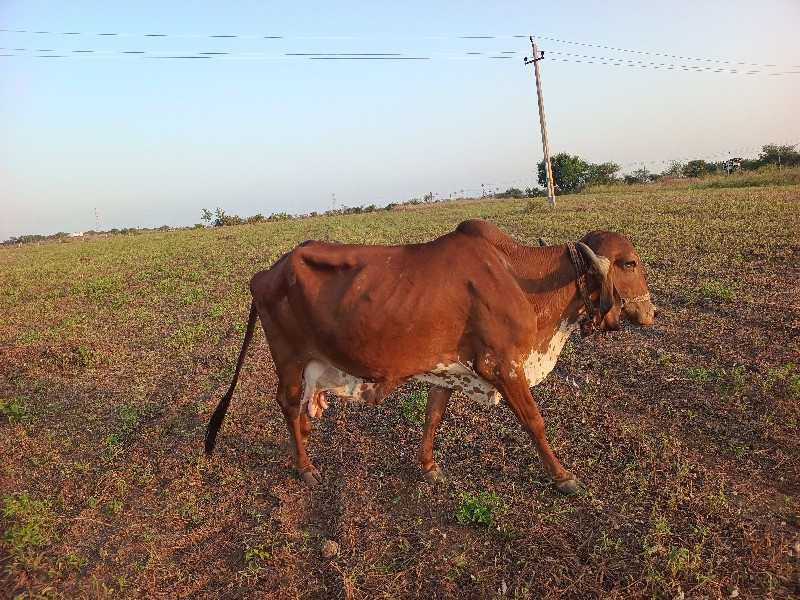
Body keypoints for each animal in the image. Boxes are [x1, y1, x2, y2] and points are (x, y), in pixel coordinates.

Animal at [206, 219, 656, 492]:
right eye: (630, 263)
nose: (651, 313)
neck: (518, 276)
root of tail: (266, 272)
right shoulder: (503, 366)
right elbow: (535, 423)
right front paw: (563, 477)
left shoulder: (449, 369)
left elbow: (433, 417)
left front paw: (428, 467)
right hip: (289, 359)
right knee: (285, 402)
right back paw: (304, 466)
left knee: (299, 406)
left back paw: (305, 436)